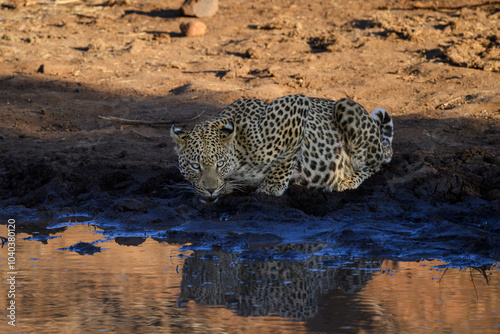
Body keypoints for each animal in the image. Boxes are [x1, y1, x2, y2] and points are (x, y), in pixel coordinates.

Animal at [170, 94, 392, 204]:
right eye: (195, 166)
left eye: (220, 164)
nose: (210, 189)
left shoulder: (296, 104)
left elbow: (288, 156)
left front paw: (271, 187)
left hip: (345, 106)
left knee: (376, 164)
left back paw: (347, 181)